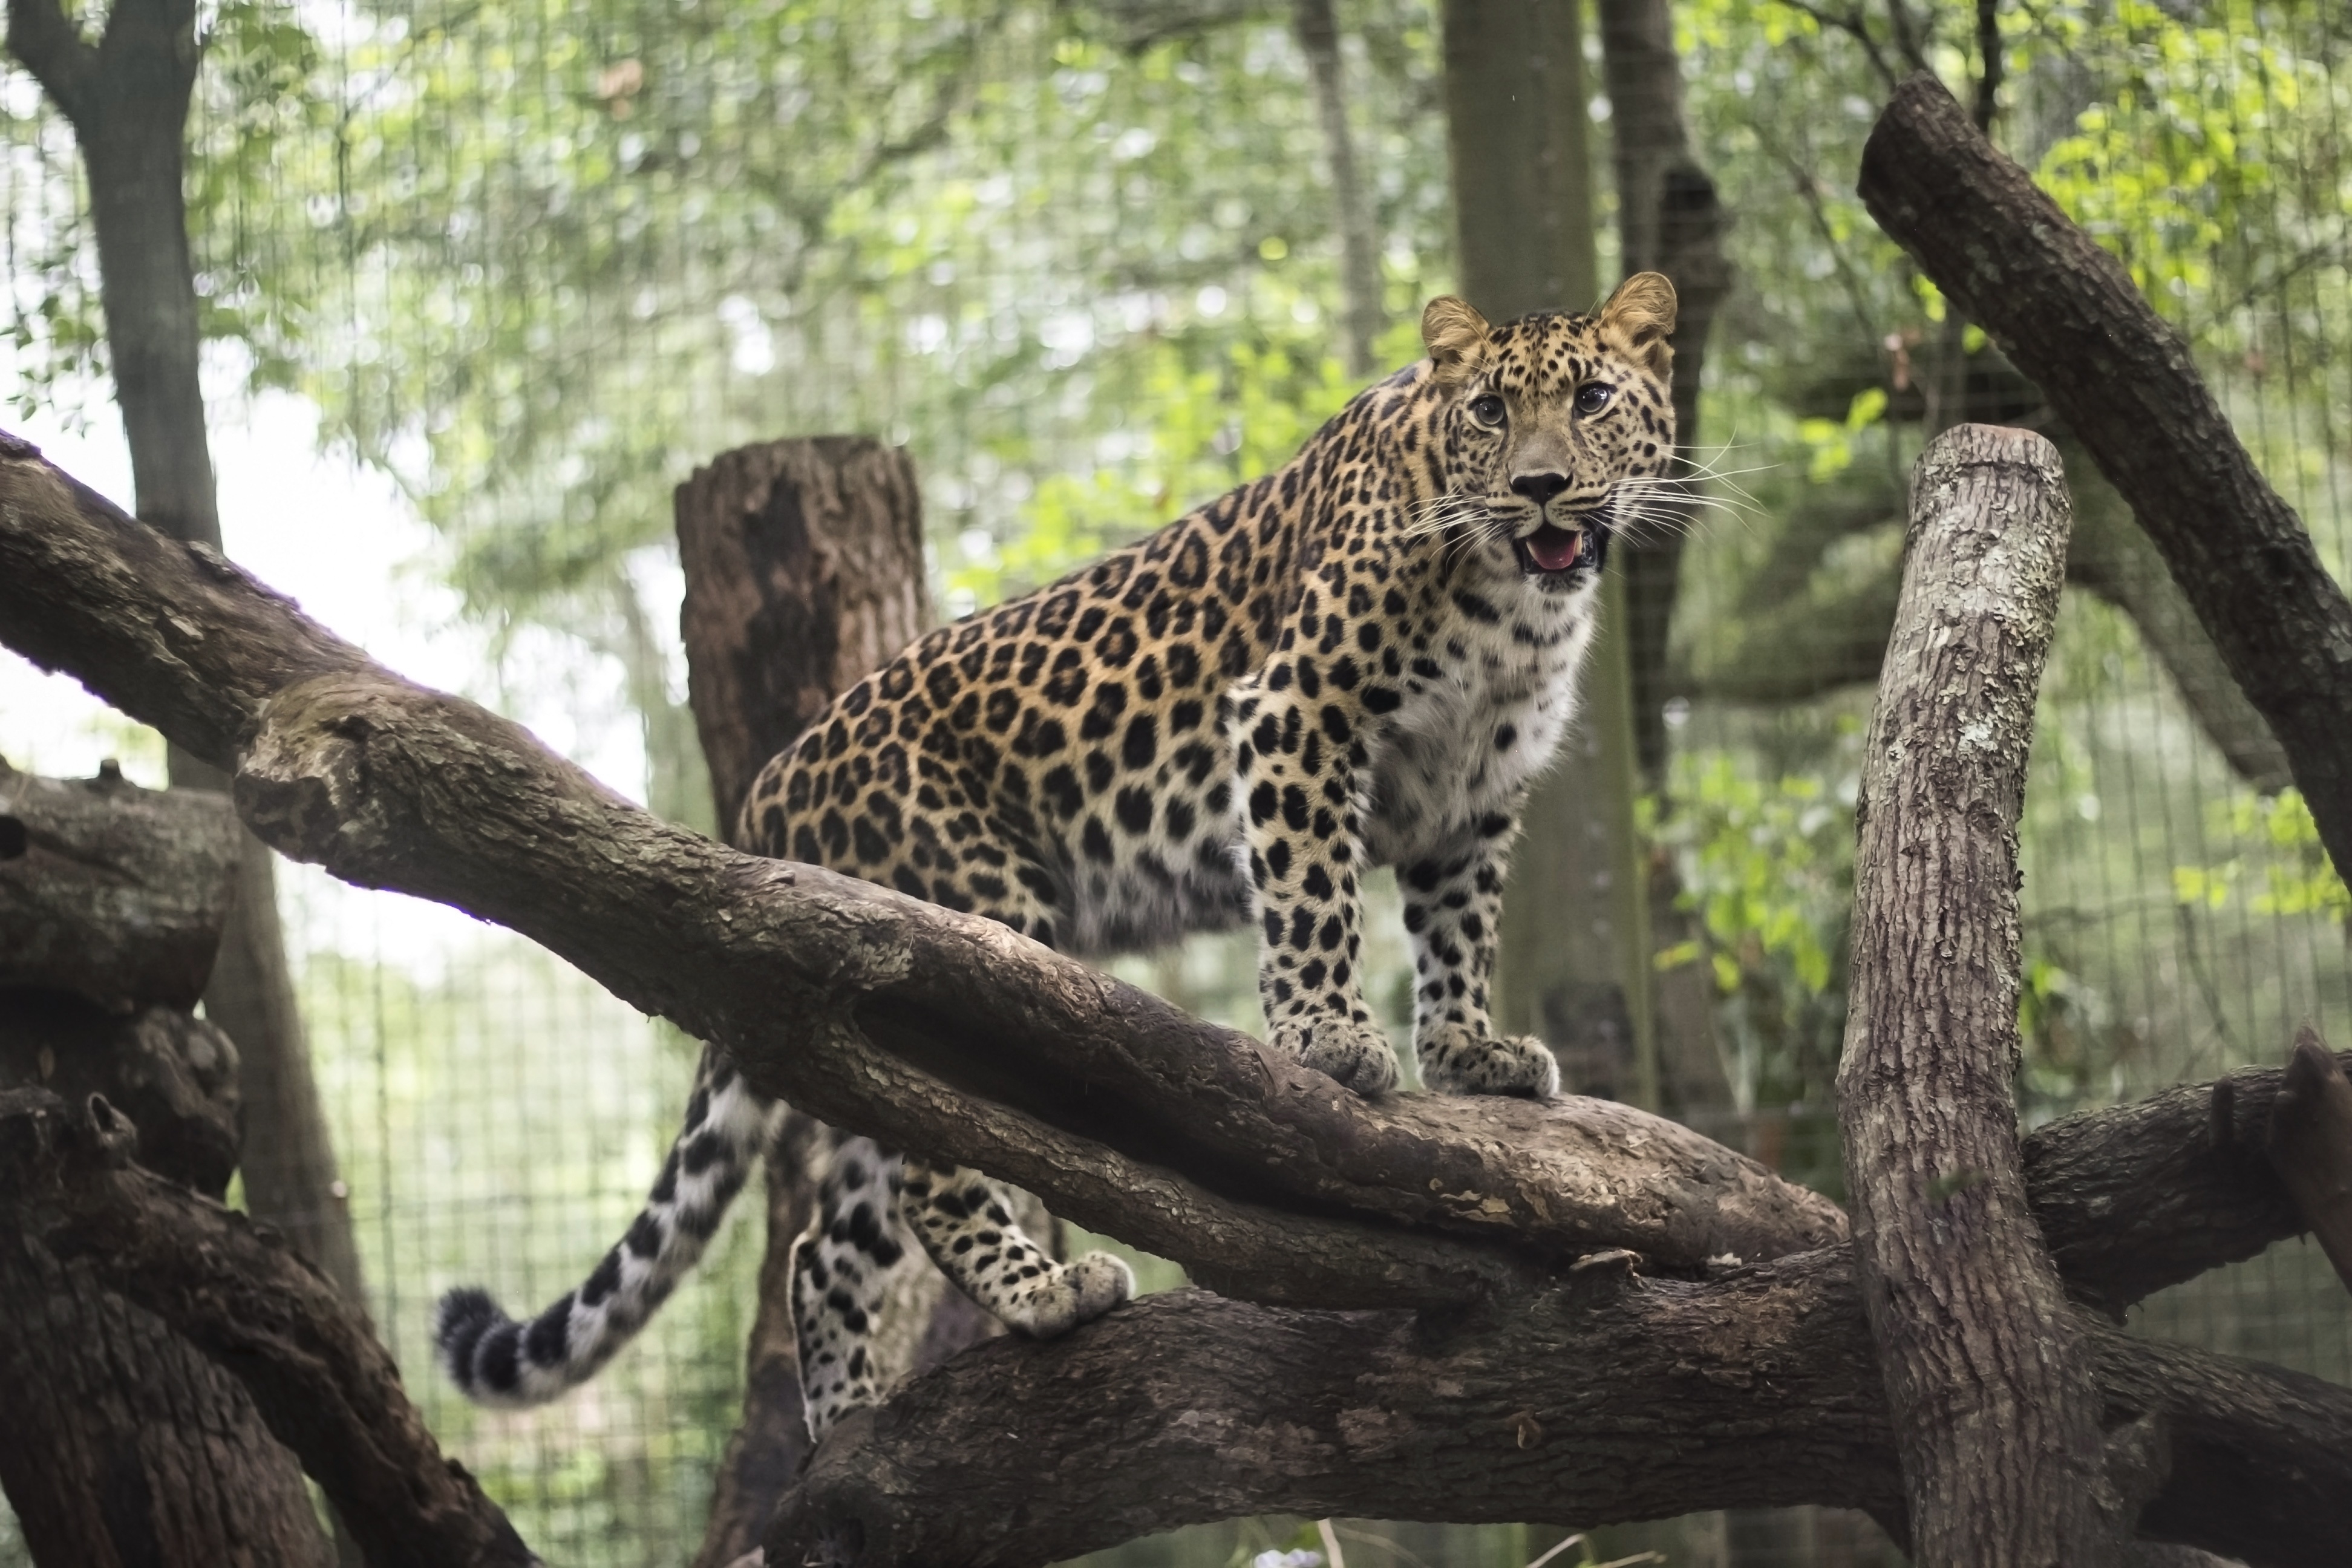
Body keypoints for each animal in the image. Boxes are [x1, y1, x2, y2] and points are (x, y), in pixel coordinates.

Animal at [437, 276, 1674, 1439]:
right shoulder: (1294, 711)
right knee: (929, 1172)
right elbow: (1312, 888)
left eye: (1590, 401)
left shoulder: (1474, 796)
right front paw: (1330, 1042)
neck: (1518, 611)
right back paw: (1044, 1294)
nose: (1541, 485)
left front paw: (1468, 1054)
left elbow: (1459, 930)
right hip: (967, 934)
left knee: (827, 1242)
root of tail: (768, 799)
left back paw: (846, 1428)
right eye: (1490, 410)